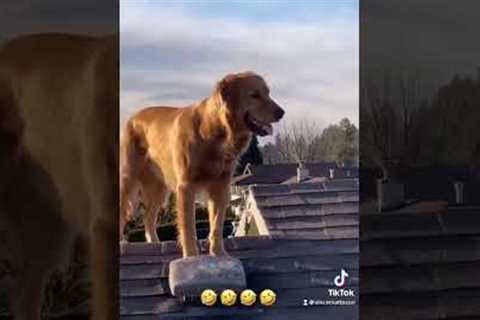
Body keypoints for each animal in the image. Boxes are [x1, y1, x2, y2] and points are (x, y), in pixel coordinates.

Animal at [121, 71, 284, 256]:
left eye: (268, 93)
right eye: (254, 95)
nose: (281, 112)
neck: (217, 132)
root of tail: (132, 117)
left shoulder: (221, 186)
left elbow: (217, 226)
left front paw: (218, 253)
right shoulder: (186, 187)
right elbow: (188, 229)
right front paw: (191, 256)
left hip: (159, 188)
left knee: (148, 218)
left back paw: (155, 244)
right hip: (128, 179)